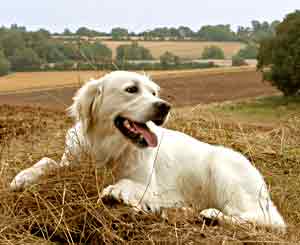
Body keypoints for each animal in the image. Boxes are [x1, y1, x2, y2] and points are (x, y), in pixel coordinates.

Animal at [9, 71, 286, 232]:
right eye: (131, 89)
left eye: (154, 92)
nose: (164, 106)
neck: (107, 146)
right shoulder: (72, 161)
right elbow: (47, 162)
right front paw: (22, 177)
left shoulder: (154, 186)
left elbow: (127, 183)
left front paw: (115, 192)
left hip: (224, 167)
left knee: (267, 220)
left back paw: (212, 216)